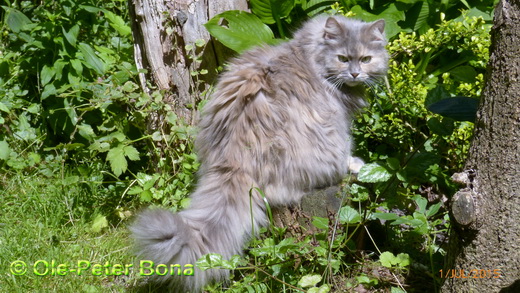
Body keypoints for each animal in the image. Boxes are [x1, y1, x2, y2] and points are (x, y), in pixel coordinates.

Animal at [132, 13, 388, 290]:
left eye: (366, 59)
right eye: (342, 58)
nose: (355, 73)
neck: (307, 54)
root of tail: (235, 160)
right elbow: (346, 154)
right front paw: (355, 162)